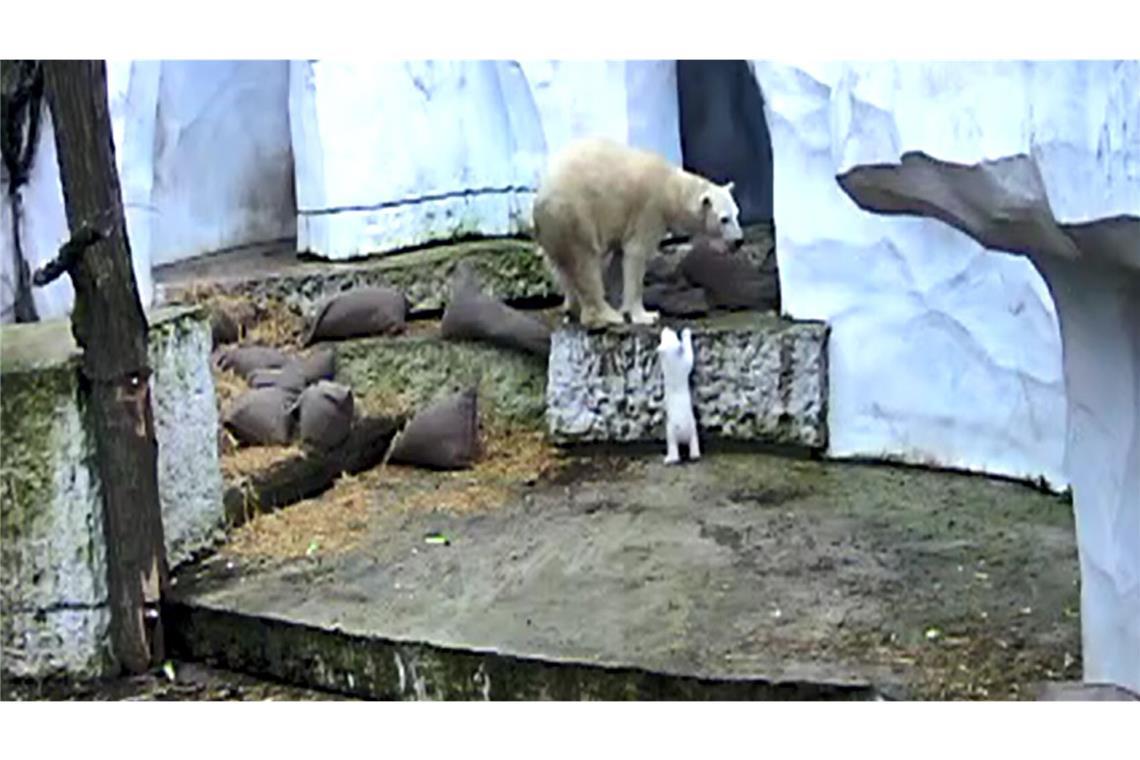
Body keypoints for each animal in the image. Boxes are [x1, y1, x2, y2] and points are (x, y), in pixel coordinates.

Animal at [531, 138, 743, 328]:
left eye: (737, 214)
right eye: (724, 219)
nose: (739, 241)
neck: (671, 188)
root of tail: (540, 198)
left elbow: (619, 259)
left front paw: (621, 304)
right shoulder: (650, 210)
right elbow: (636, 253)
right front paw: (645, 315)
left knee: (561, 267)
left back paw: (572, 308)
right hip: (574, 215)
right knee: (585, 263)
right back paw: (606, 315)